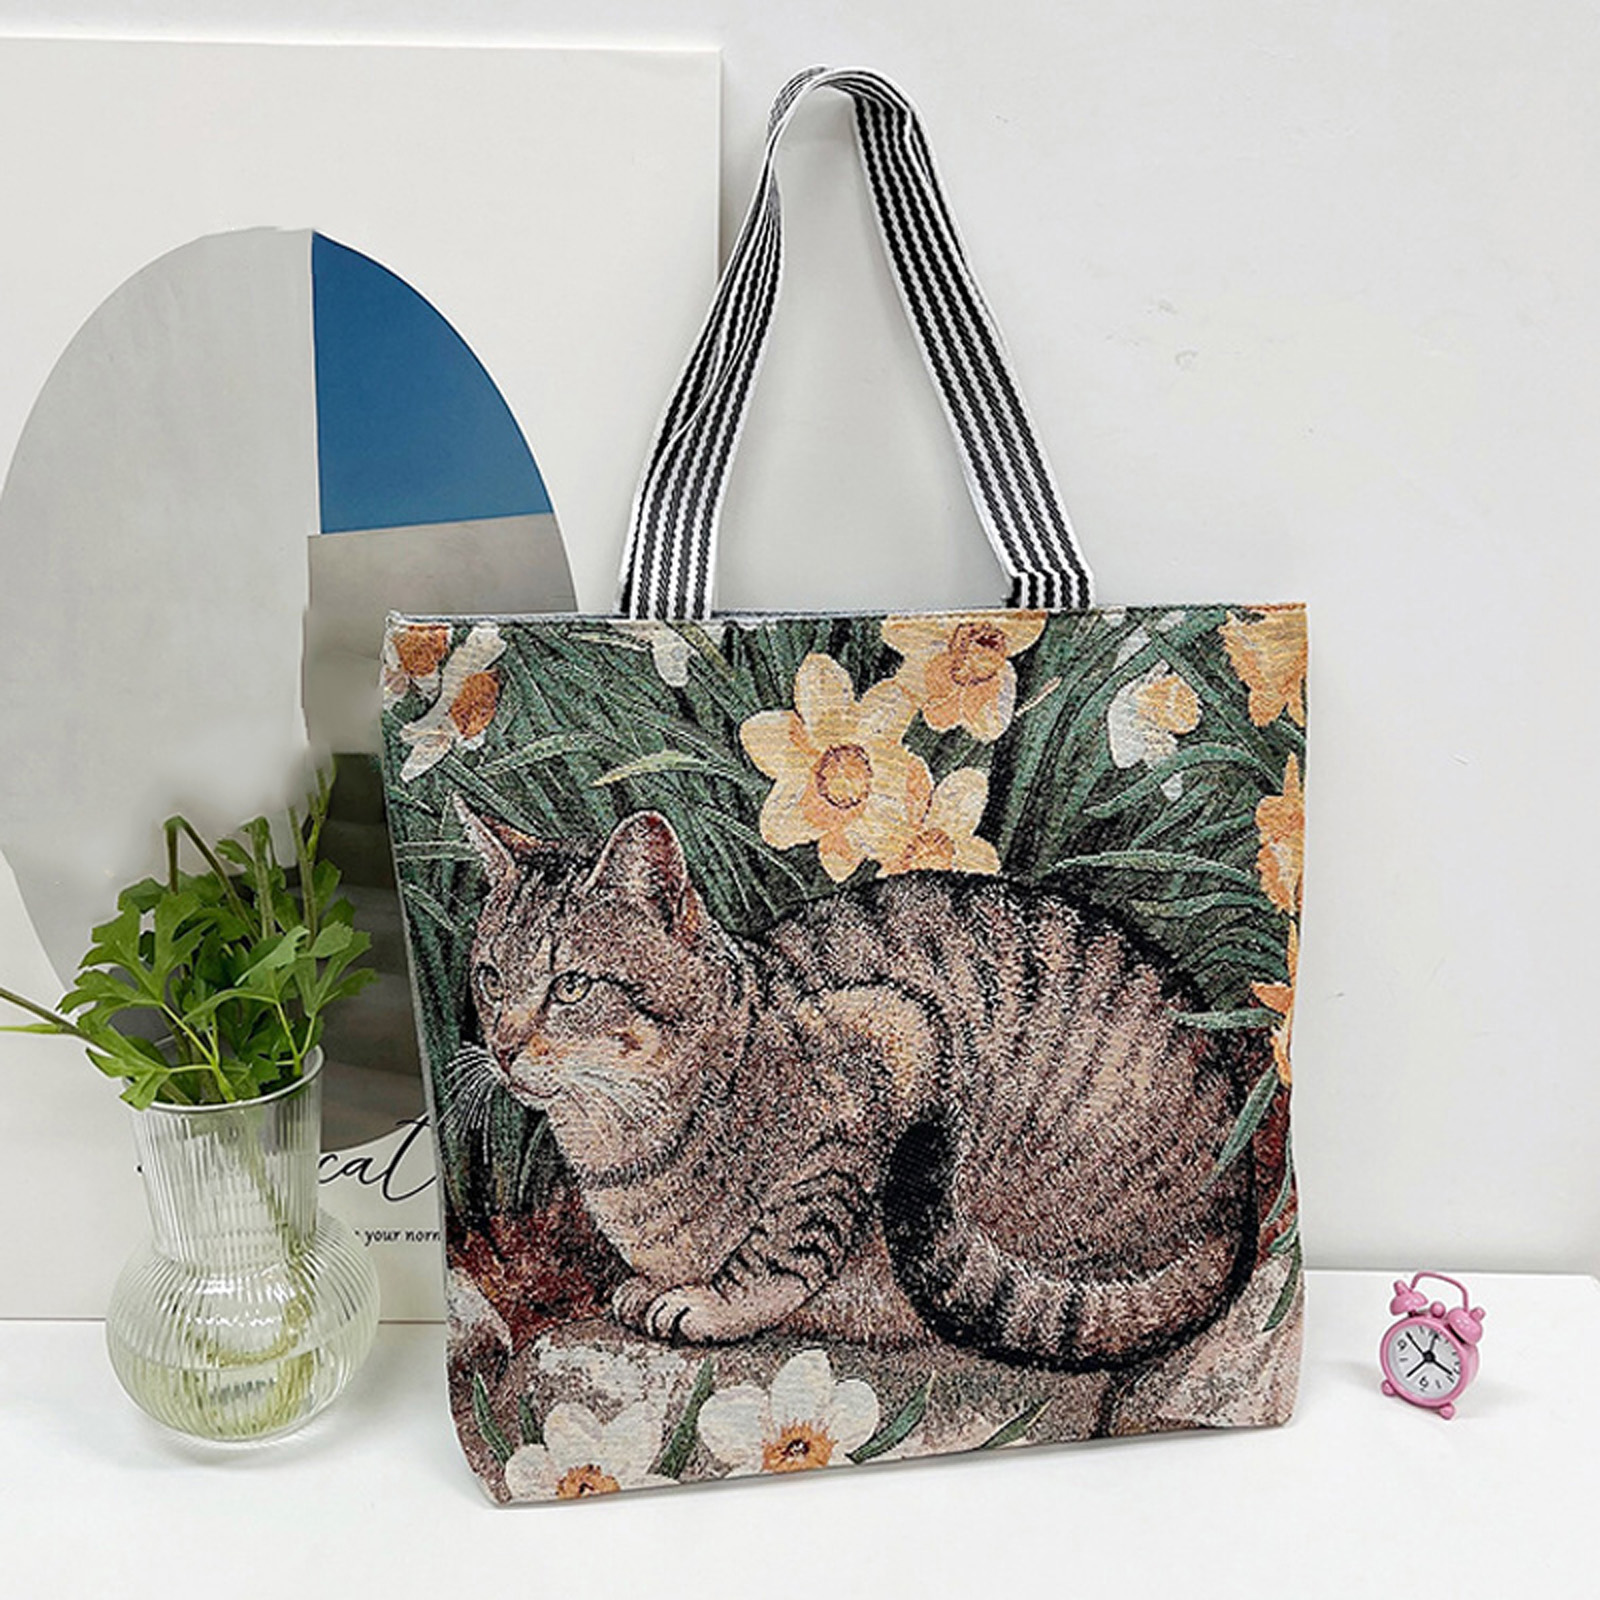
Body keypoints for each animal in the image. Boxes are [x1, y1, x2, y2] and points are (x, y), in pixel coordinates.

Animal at [453, 799, 1258, 1373]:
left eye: (571, 986)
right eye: (489, 977)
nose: (502, 1048)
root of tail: (1237, 1207)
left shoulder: (885, 1045)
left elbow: (784, 1246)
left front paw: (712, 1304)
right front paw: (652, 1284)